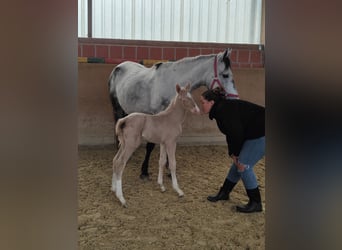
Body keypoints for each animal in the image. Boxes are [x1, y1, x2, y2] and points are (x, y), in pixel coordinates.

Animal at [108, 47, 239, 179]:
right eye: (225, 75)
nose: (235, 98)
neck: (170, 83)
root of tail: (119, 66)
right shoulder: (156, 116)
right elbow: (151, 145)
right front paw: (144, 171)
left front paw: (168, 168)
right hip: (117, 108)